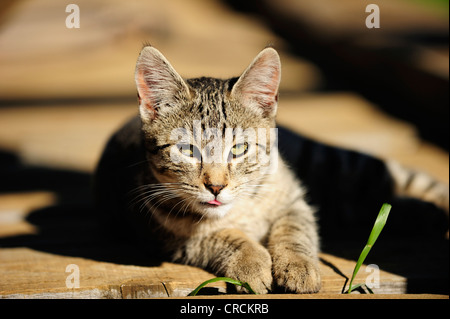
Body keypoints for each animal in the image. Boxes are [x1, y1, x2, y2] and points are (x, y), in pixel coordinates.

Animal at [94, 45, 446, 296]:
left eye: (239, 149)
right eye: (187, 150)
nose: (216, 187)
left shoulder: (294, 200)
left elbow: (294, 231)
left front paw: (298, 264)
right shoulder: (169, 235)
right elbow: (224, 237)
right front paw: (251, 262)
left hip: (340, 163)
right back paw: (422, 214)